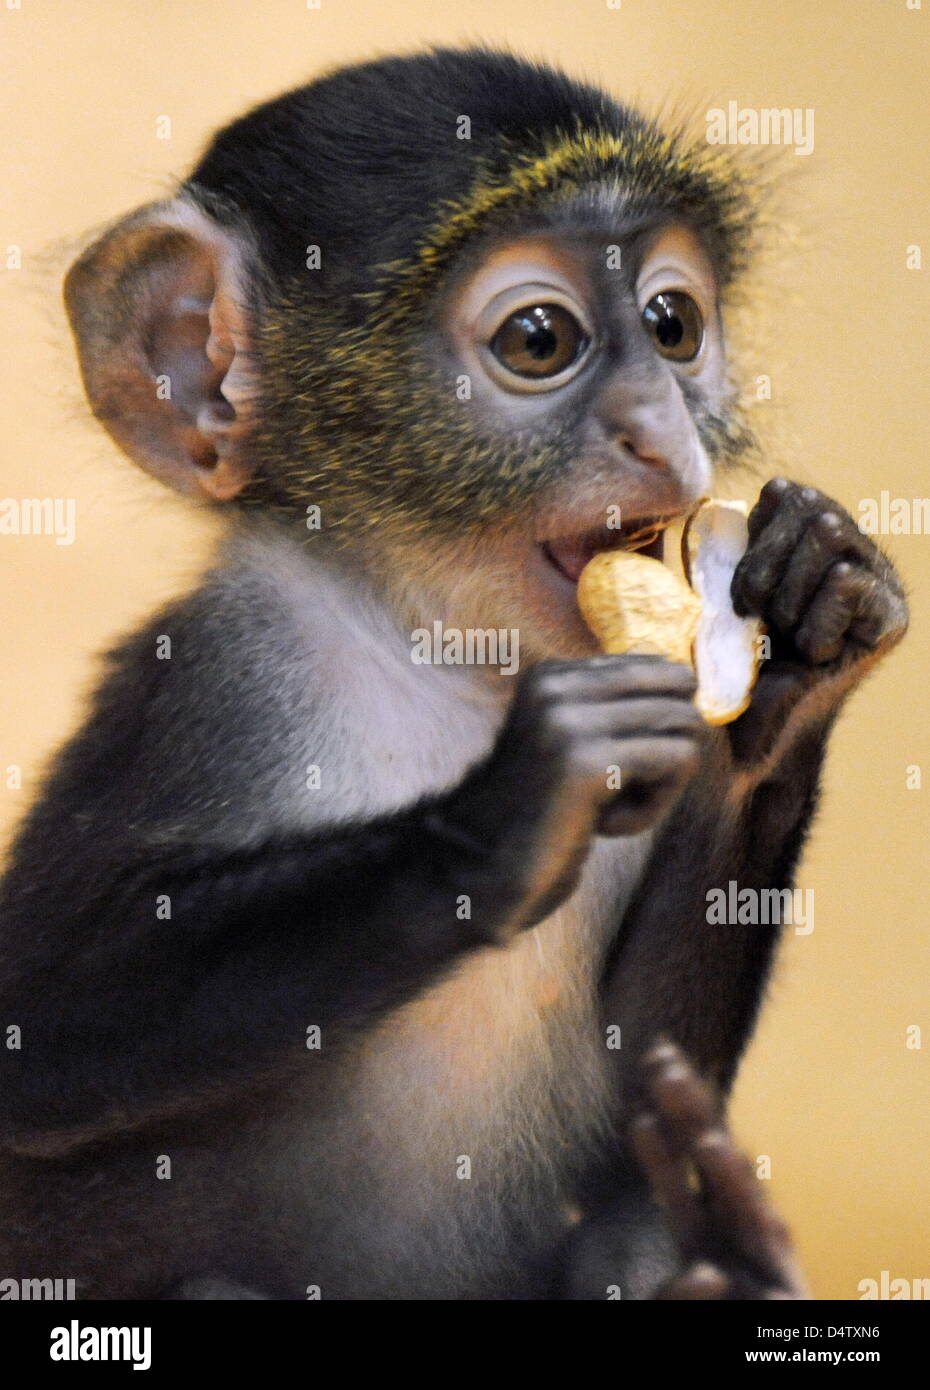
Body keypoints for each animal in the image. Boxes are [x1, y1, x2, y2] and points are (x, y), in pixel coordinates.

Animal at [0, 46, 907, 1301]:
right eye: (538, 340)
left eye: (672, 323)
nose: (665, 433)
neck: (443, 661)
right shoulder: (217, 679)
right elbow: (28, 1039)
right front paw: (502, 817)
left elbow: (648, 1100)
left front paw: (808, 628)